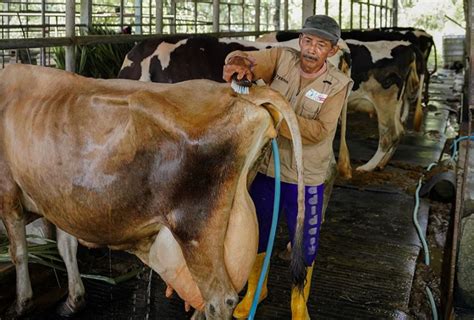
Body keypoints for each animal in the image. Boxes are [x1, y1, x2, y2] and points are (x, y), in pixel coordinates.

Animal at [0, 63, 308, 318]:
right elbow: (66, 247)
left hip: (195, 230)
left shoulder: (8, 193)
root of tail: (239, 93)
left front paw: (21, 303)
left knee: (219, 300)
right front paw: (73, 301)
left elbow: (19, 251)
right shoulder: (59, 201)